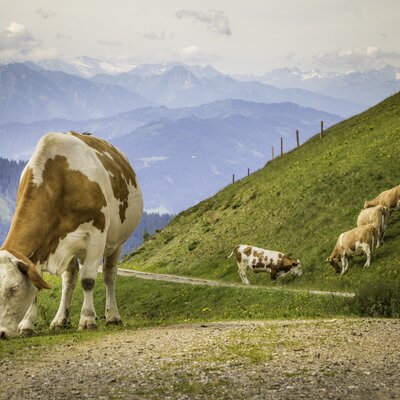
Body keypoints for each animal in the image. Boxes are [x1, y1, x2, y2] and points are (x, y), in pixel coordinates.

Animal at [0, 131, 144, 338]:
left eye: (13, 289)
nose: (1, 333)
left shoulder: (96, 236)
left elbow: (88, 280)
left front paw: (87, 320)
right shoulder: (42, 248)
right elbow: (38, 286)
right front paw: (27, 325)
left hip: (117, 242)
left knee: (109, 275)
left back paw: (112, 316)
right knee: (69, 279)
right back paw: (60, 320)